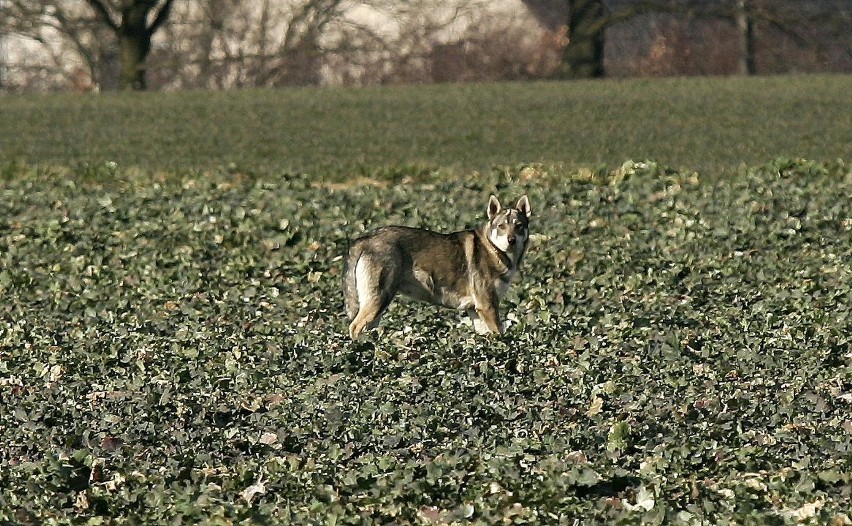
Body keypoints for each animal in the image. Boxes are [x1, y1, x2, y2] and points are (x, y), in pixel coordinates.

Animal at [342, 196, 528, 340]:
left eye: (519, 226)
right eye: (501, 226)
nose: (511, 240)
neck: (494, 250)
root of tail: (366, 238)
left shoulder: (476, 311)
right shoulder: (488, 306)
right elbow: (499, 333)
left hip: (377, 308)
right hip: (378, 300)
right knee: (354, 327)